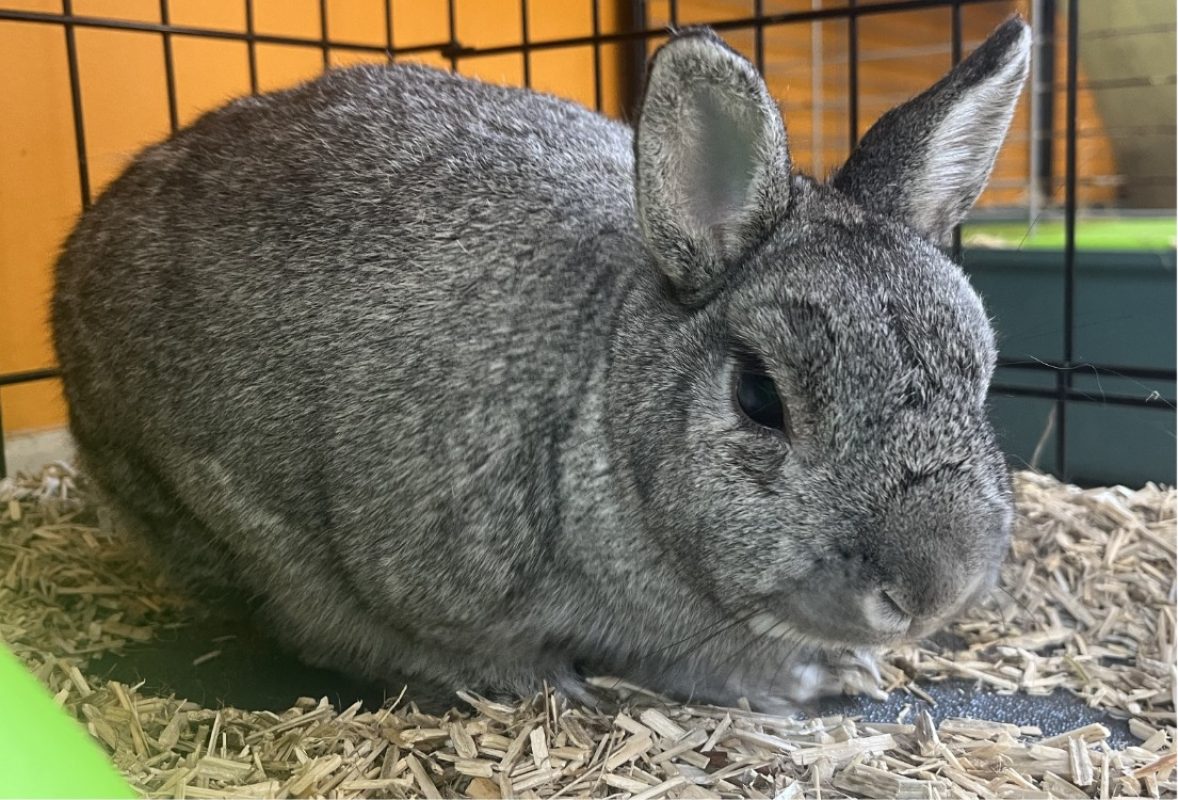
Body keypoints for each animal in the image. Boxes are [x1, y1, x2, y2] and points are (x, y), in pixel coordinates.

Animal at [52, 17, 1031, 708]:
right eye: (760, 397)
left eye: (981, 374)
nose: (933, 588)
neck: (612, 409)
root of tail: (77, 260)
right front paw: (814, 678)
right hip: (235, 521)